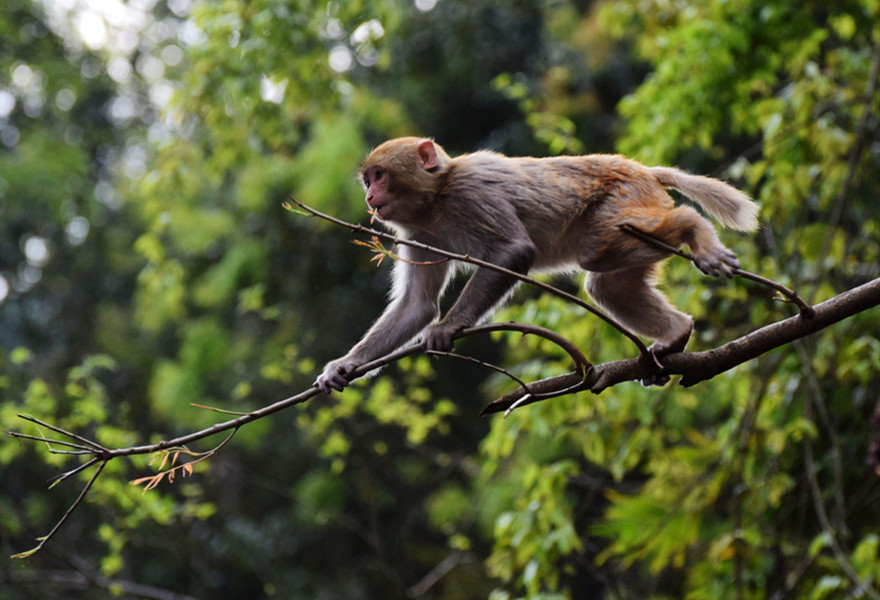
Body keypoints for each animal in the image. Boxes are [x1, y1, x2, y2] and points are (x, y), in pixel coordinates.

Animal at [314, 138, 756, 396]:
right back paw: (675, 333)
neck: (436, 196)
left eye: (380, 175)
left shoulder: (471, 193)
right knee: (607, 286)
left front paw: (447, 328)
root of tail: (643, 170)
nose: (370, 196)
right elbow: (417, 306)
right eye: (368, 179)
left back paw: (694, 229)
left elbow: (513, 251)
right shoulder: (416, 230)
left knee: (599, 252)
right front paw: (344, 365)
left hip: (625, 199)